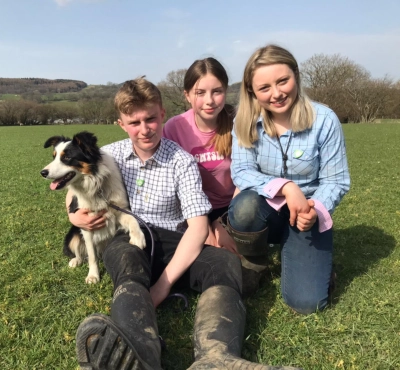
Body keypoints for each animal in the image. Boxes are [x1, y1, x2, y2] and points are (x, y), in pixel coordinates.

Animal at [40, 131, 145, 284]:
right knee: (79, 251)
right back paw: (75, 261)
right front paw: (93, 275)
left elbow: (132, 219)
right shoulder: (86, 224)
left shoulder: (119, 210)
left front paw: (138, 238)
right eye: (54, 157)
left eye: (67, 158)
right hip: (73, 234)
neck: (95, 185)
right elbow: (92, 255)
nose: (42, 172)